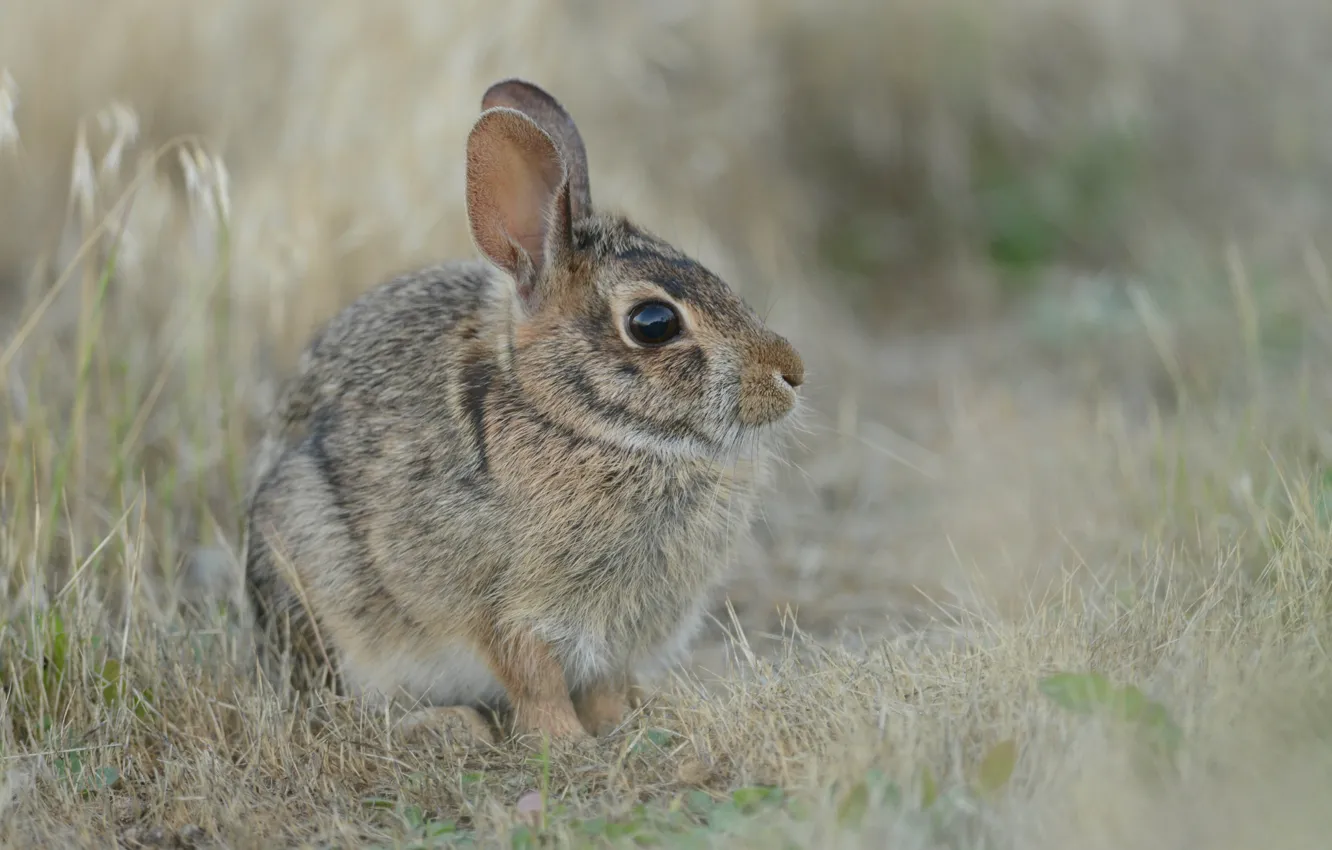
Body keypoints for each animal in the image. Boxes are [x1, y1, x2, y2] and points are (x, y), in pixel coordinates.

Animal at [241, 79, 804, 746]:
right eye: (653, 323)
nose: (791, 372)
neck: (576, 420)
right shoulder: (503, 610)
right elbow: (533, 678)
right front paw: (566, 743)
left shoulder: (616, 636)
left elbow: (603, 684)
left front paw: (616, 727)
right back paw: (448, 724)